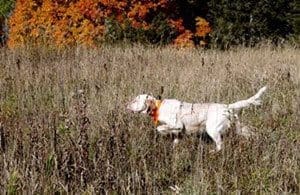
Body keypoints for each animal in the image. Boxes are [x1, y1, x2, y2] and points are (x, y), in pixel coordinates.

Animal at [126, 86, 268, 152]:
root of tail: (226, 107)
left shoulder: (177, 125)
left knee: (220, 145)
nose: (126, 105)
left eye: (135, 100)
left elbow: (160, 128)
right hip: (235, 127)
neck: (158, 106)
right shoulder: (179, 132)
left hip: (212, 129)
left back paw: (213, 152)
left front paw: (163, 131)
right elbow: (175, 140)